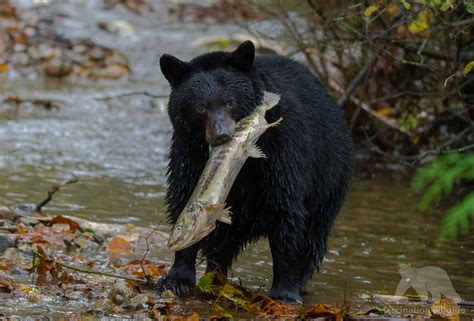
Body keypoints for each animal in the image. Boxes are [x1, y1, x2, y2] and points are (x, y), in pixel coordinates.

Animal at [158, 40, 352, 302]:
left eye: (230, 101)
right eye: (200, 107)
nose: (221, 135)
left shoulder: (283, 150)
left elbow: (286, 212)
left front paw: (285, 292)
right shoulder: (188, 151)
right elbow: (183, 196)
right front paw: (177, 279)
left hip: (330, 179)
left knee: (313, 234)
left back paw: (300, 281)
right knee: (223, 241)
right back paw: (216, 276)